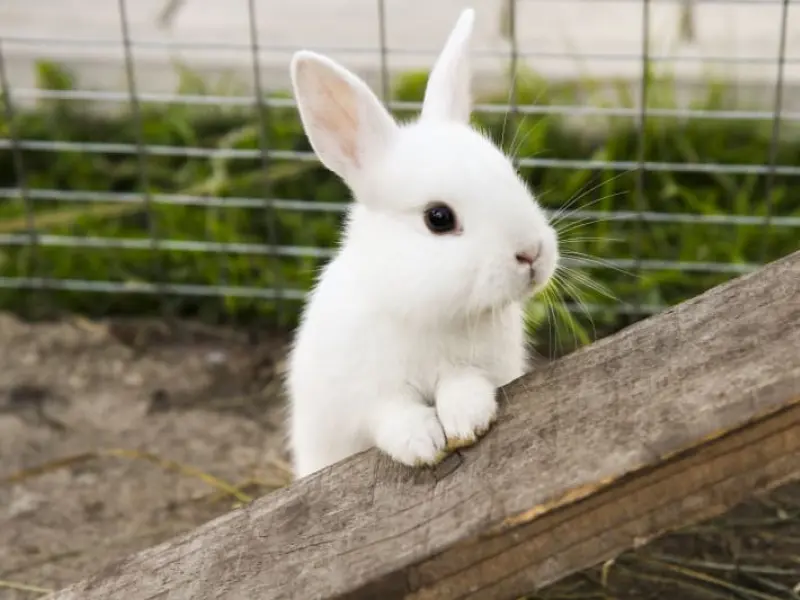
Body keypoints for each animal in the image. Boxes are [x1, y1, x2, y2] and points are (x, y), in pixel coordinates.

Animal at [285, 7, 559, 479]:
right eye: (439, 218)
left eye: (511, 174)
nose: (531, 254)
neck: (430, 313)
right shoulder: (364, 396)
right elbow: (391, 414)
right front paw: (422, 443)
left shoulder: (482, 367)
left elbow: (464, 384)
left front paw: (467, 419)